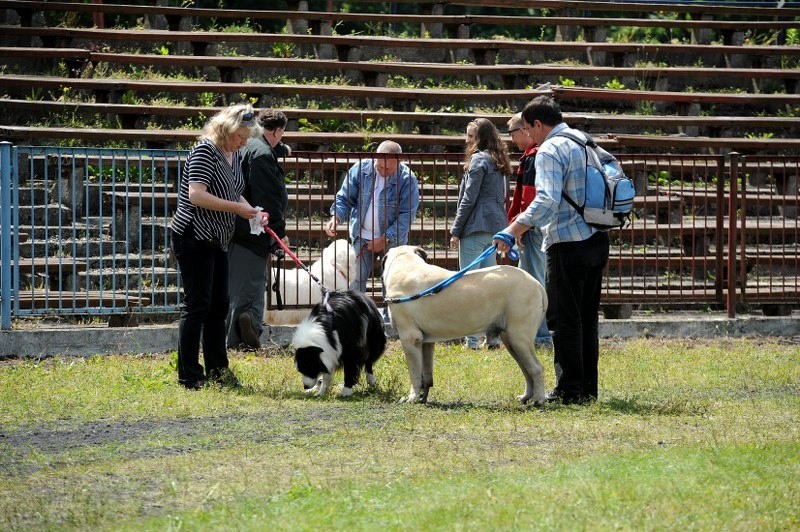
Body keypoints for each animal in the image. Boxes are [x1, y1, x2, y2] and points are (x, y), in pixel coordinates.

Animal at [382, 247, 552, 406]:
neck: (405, 262)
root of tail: (537, 284)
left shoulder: (410, 338)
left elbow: (414, 373)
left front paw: (412, 397)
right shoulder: (425, 342)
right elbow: (426, 374)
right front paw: (423, 396)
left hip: (519, 338)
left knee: (536, 368)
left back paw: (539, 399)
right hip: (511, 340)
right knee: (526, 369)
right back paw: (526, 396)